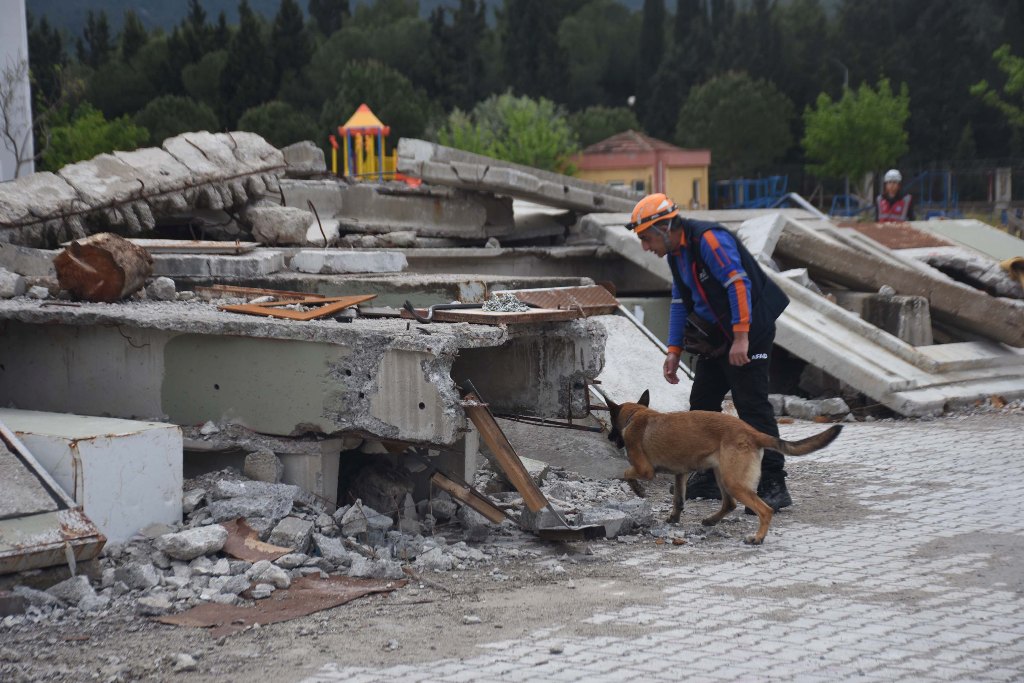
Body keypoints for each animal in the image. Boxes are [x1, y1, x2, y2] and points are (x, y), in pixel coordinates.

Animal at [606, 389, 839, 544]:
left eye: (612, 423)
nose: (609, 437)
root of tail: (752, 432)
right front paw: (674, 518)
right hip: (722, 475)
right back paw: (711, 521)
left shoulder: (645, 470)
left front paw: (639, 490)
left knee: (765, 510)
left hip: (732, 481)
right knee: (730, 504)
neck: (635, 415)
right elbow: (678, 500)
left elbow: (626, 473)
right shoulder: (681, 474)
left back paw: (757, 537)